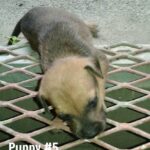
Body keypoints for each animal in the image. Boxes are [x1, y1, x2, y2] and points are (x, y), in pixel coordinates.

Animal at [8, 6, 108, 138]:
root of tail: (26, 14)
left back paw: (91, 26)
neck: (63, 55)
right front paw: (57, 122)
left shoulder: (102, 61)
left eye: (93, 102)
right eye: (64, 116)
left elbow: (100, 82)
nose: (90, 134)